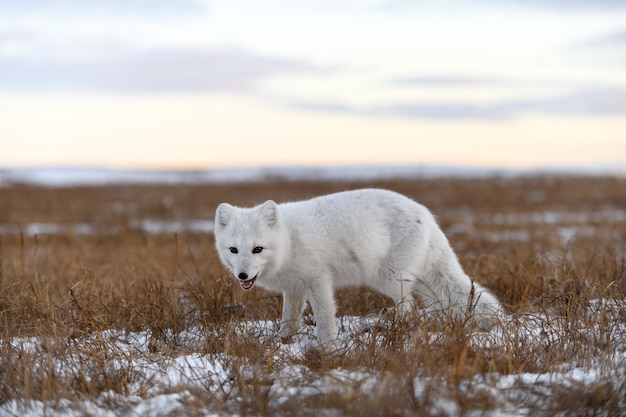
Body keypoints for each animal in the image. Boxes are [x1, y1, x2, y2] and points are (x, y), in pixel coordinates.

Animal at [214, 188, 502, 344]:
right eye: (233, 250)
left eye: (257, 249)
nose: (242, 275)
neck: (289, 240)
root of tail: (426, 215)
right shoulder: (295, 289)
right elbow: (289, 321)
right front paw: (282, 342)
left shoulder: (319, 281)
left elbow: (324, 319)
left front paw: (327, 348)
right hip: (418, 282)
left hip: (389, 279)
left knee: (410, 310)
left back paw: (398, 333)